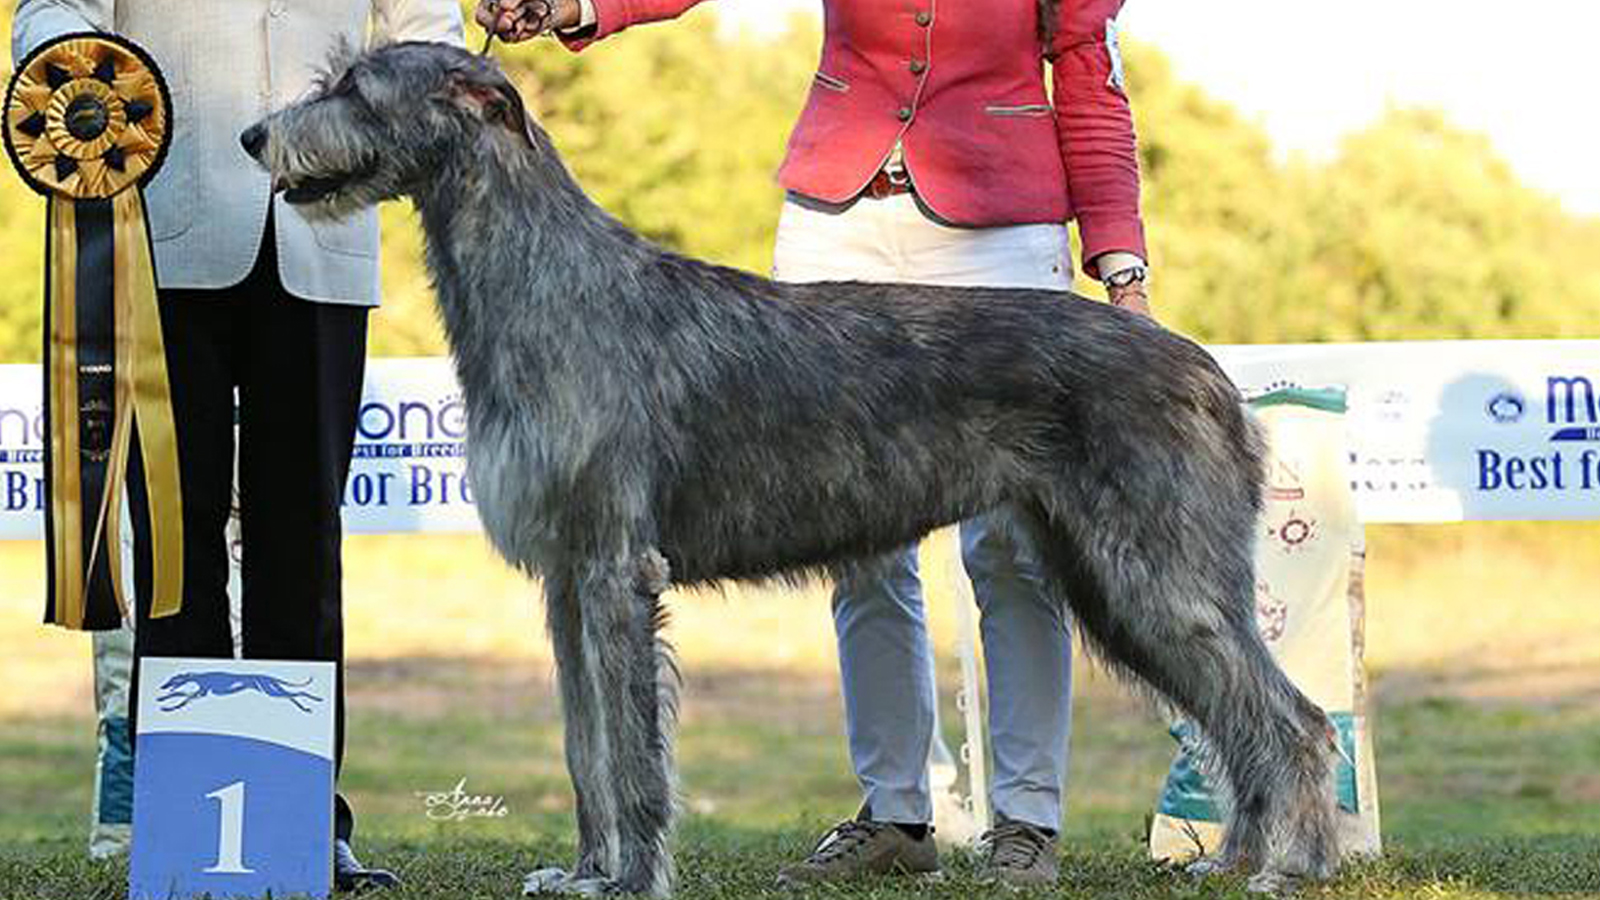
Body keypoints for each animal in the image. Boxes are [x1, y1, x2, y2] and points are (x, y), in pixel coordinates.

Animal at [243, 40, 1344, 890]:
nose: (254, 138)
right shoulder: (566, 577)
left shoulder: (616, 569)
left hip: (1156, 570)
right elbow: (583, 746)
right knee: (1233, 715)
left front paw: (631, 880)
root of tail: (1204, 366)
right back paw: (1236, 859)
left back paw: (1294, 864)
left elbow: (632, 755)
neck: (546, 280)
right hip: (1115, 580)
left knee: (1291, 718)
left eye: (351, 86)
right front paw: (585, 871)